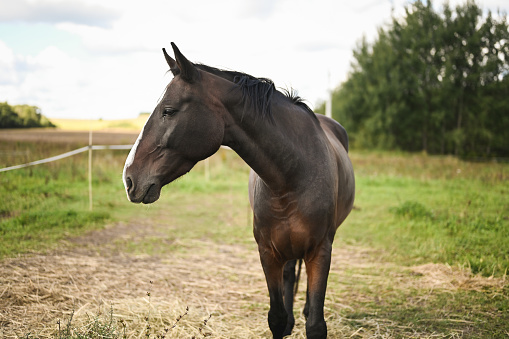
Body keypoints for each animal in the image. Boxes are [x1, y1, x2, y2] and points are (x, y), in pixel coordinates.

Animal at [122, 43, 354, 339]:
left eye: (169, 110)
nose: (129, 178)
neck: (293, 175)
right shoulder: (268, 253)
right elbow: (277, 318)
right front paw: (286, 320)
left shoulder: (321, 251)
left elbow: (315, 325)